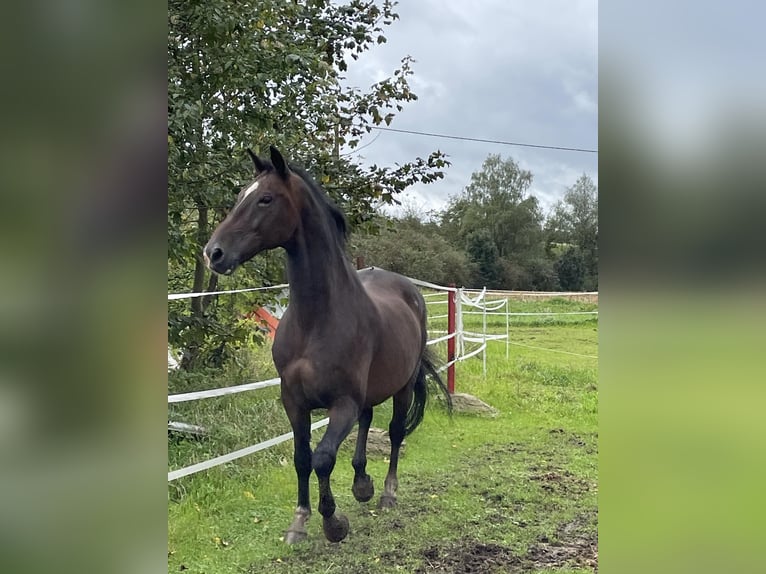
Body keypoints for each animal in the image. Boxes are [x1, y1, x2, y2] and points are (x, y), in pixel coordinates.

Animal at [207, 145, 452, 544]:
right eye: (240, 196)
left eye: (265, 199)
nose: (213, 253)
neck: (316, 321)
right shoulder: (294, 401)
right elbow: (302, 457)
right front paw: (300, 520)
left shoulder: (342, 403)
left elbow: (322, 457)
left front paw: (333, 523)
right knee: (368, 421)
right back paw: (362, 483)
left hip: (401, 387)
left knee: (395, 432)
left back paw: (386, 493)